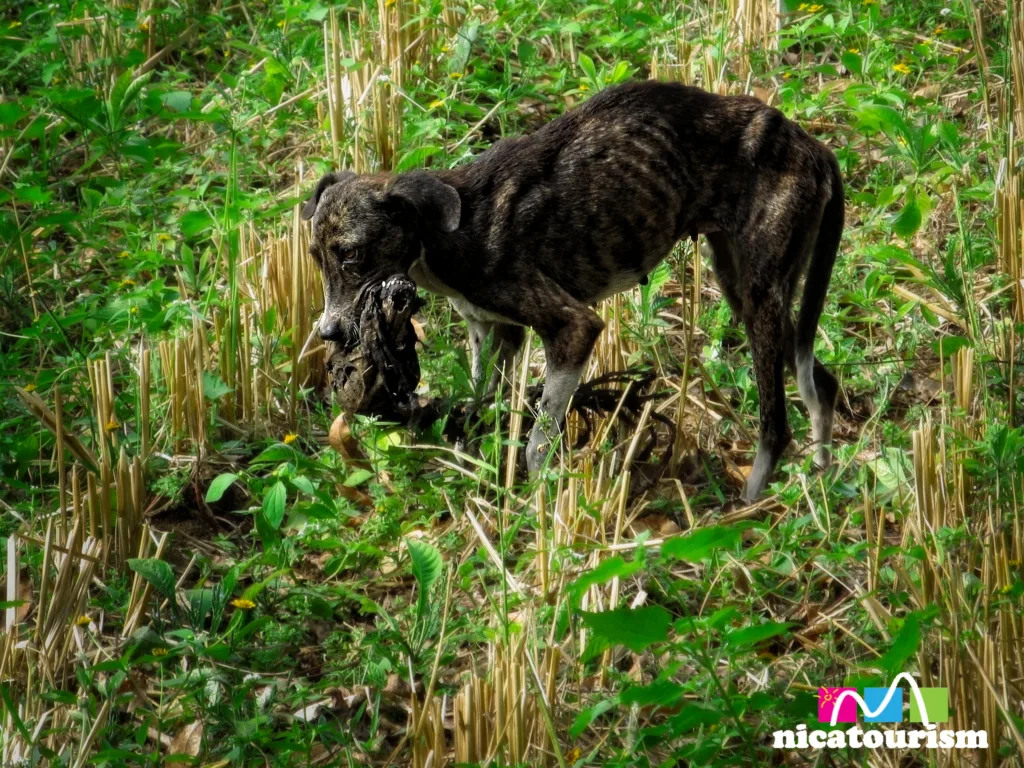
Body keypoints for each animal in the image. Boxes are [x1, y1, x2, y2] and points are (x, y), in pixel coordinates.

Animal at [303, 81, 847, 501]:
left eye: (352, 255)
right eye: (315, 258)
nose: (328, 334)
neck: (445, 229)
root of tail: (811, 145)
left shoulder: (574, 329)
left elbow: (538, 441)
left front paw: (540, 505)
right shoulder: (494, 334)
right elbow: (481, 412)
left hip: (758, 299)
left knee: (777, 425)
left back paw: (751, 505)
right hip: (748, 290)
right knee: (821, 384)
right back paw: (822, 483)